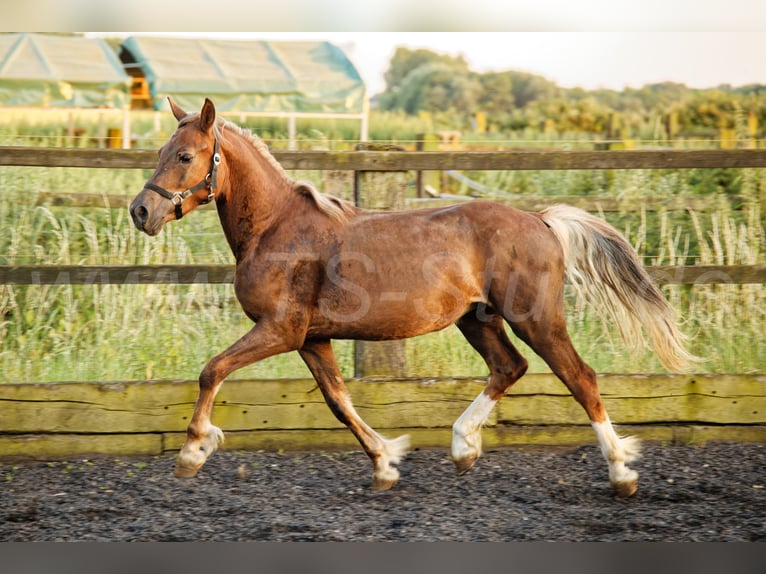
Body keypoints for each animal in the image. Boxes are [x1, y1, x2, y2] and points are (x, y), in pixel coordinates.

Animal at [130, 97, 696, 497]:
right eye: (159, 153)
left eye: (185, 156)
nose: (141, 212)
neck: (276, 228)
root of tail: (539, 220)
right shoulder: (312, 339)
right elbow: (339, 402)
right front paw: (385, 463)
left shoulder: (279, 330)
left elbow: (212, 371)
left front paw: (194, 451)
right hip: (477, 318)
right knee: (509, 367)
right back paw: (463, 447)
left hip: (534, 317)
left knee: (580, 377)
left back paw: (621, 473)